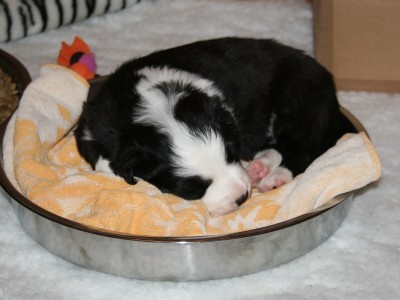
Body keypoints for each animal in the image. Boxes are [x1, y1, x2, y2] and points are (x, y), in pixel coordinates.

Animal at [75, 37, 356, 216]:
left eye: (231, 155)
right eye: (193, 188)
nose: (242, 197)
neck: (150, 104)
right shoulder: (91, 125)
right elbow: (103, 161)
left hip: (299, 100)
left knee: (302, 150)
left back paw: (272, 177)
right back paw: (260, 168)